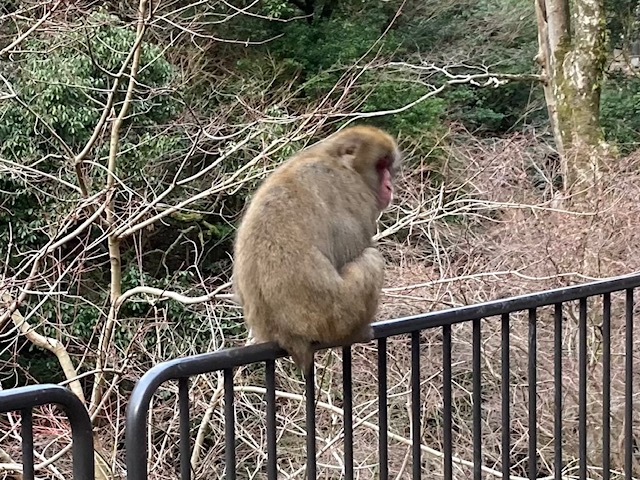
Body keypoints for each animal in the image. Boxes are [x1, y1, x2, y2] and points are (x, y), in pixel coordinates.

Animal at [233, 125, 400, 372]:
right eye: (381, 166)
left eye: (388, 167)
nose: (389, 186)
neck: (334, 159)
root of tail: (286, 335)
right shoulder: (355, 195)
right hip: (334, 316)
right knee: (372, 259)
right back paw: (358, 333)